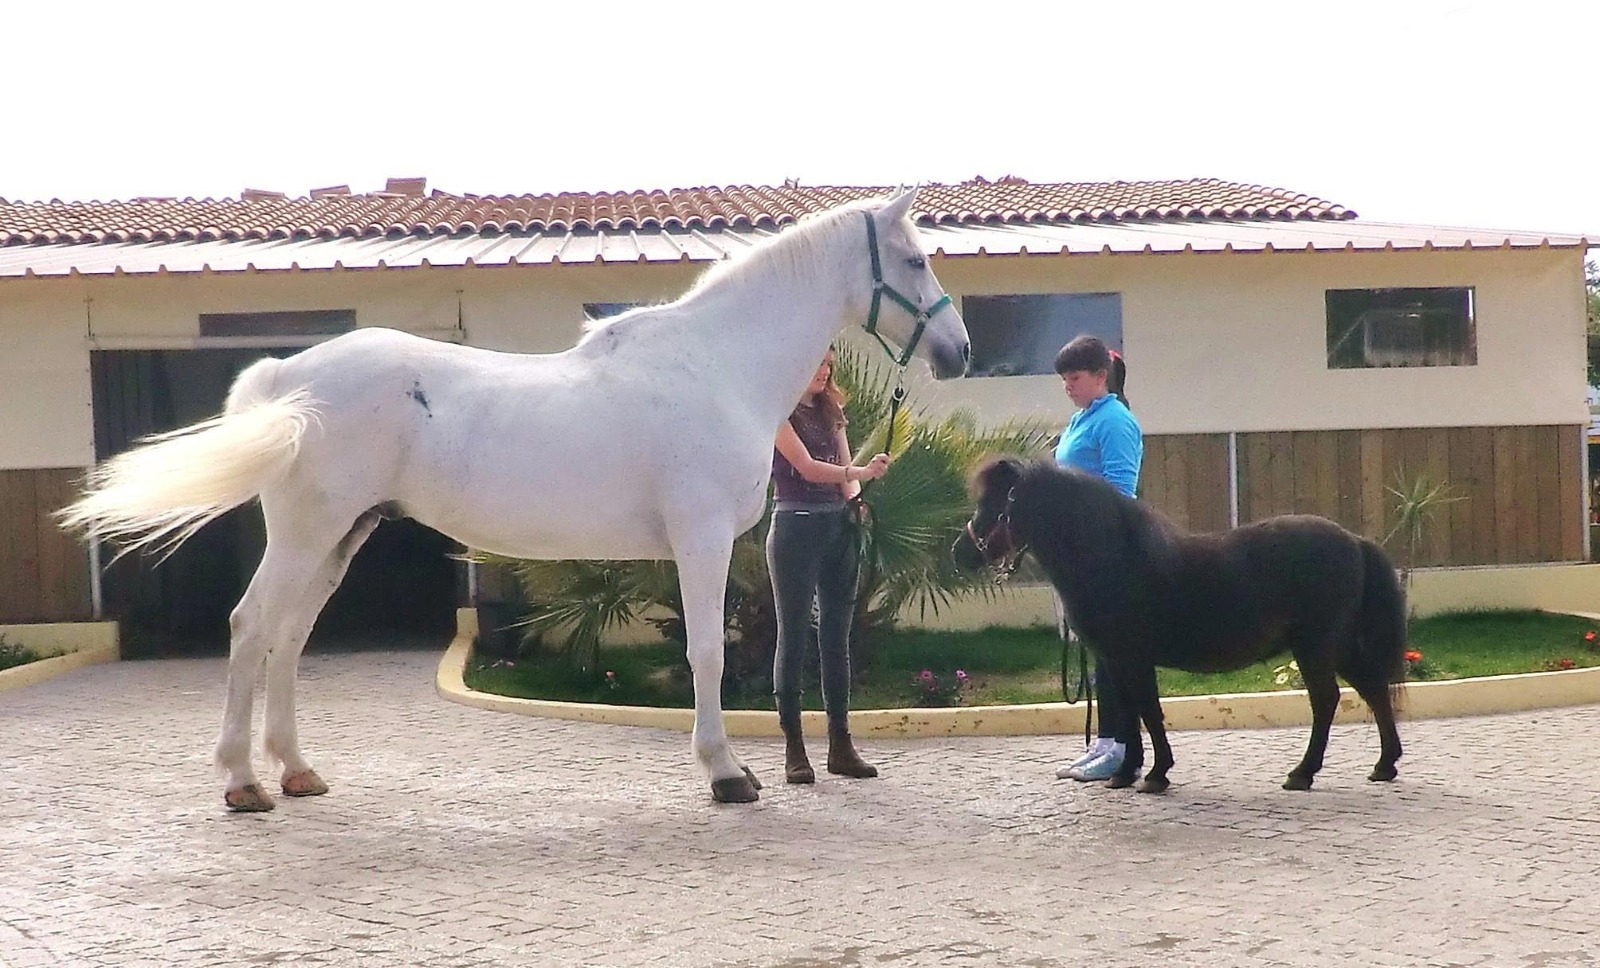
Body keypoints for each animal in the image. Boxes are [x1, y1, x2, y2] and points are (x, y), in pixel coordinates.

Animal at [57, 189, 971, 811]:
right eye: (915, 260)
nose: (960, 352)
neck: (715, 364)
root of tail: (289, 377)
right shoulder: (702, 538)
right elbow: (708, 654)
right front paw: (726, 773)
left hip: (340, 538)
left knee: (287, 639)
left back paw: (297, 771)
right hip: (306, 534)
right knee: (252, 628)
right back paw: (243, 782)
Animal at [951, 457, 1406, 794]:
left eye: (995, 502)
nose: (960, 553)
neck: (1113, 560)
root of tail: (1354, 541)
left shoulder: (1132, 658)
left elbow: (1148, 711)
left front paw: (1155, 775)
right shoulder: (1116, 660)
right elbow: (1132, 711)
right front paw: (1127, 773)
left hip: (1315, 647)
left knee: (1327, 699)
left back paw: (1302, 773)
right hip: (1336, 646)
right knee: (1372, 687)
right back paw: (1384, 765)